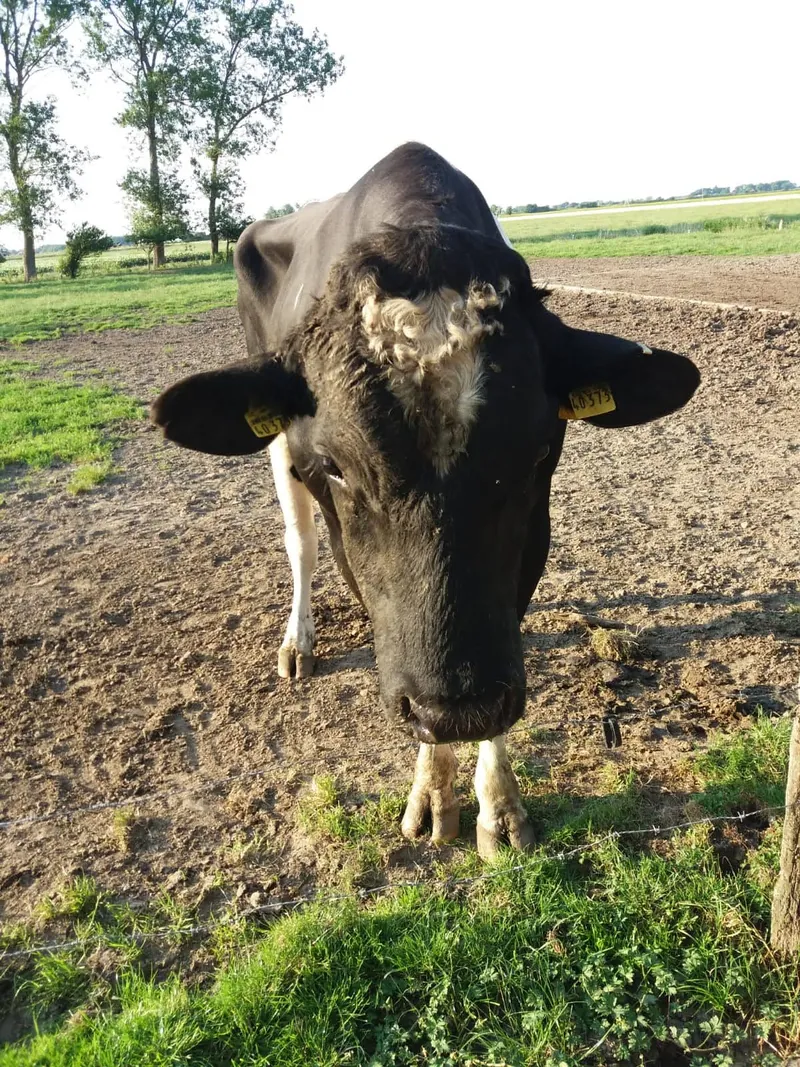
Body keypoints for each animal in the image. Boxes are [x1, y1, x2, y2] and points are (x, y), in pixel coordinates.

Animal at [152, 143, 699, 857]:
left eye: (537, 455)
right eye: (335, 468)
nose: (456, 707)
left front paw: (498, 806)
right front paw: (436, 793)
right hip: (270, 425)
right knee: (299, 541)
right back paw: (298, 640)